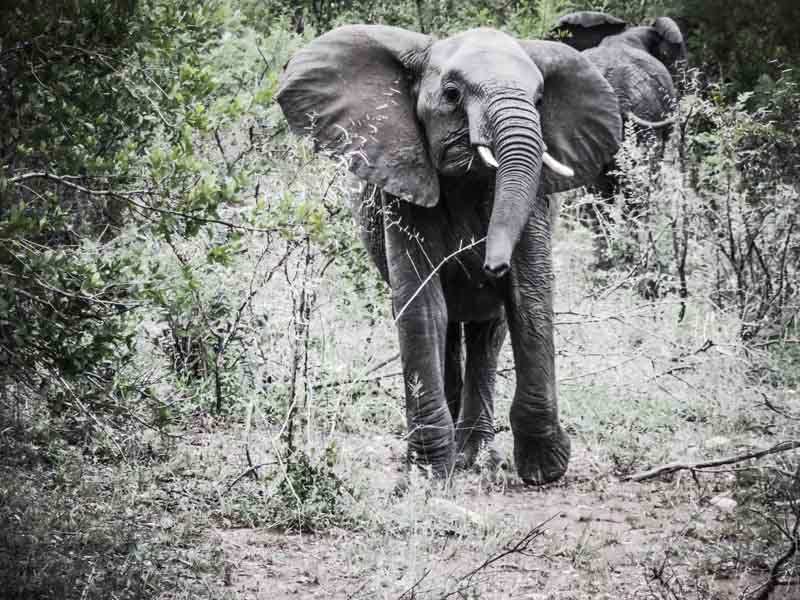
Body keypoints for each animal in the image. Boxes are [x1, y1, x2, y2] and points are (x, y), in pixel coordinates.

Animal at [278, 28, 620, 486]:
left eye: (540, 99)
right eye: (453, 94)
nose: (491, 265)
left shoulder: (535, 203)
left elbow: (527, 298)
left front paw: (543, 470)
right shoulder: (404, 180)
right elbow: (423, 305)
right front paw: (428, 474)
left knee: (486, 331)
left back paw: (474, 452)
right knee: (450, 324)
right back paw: (460, 452)